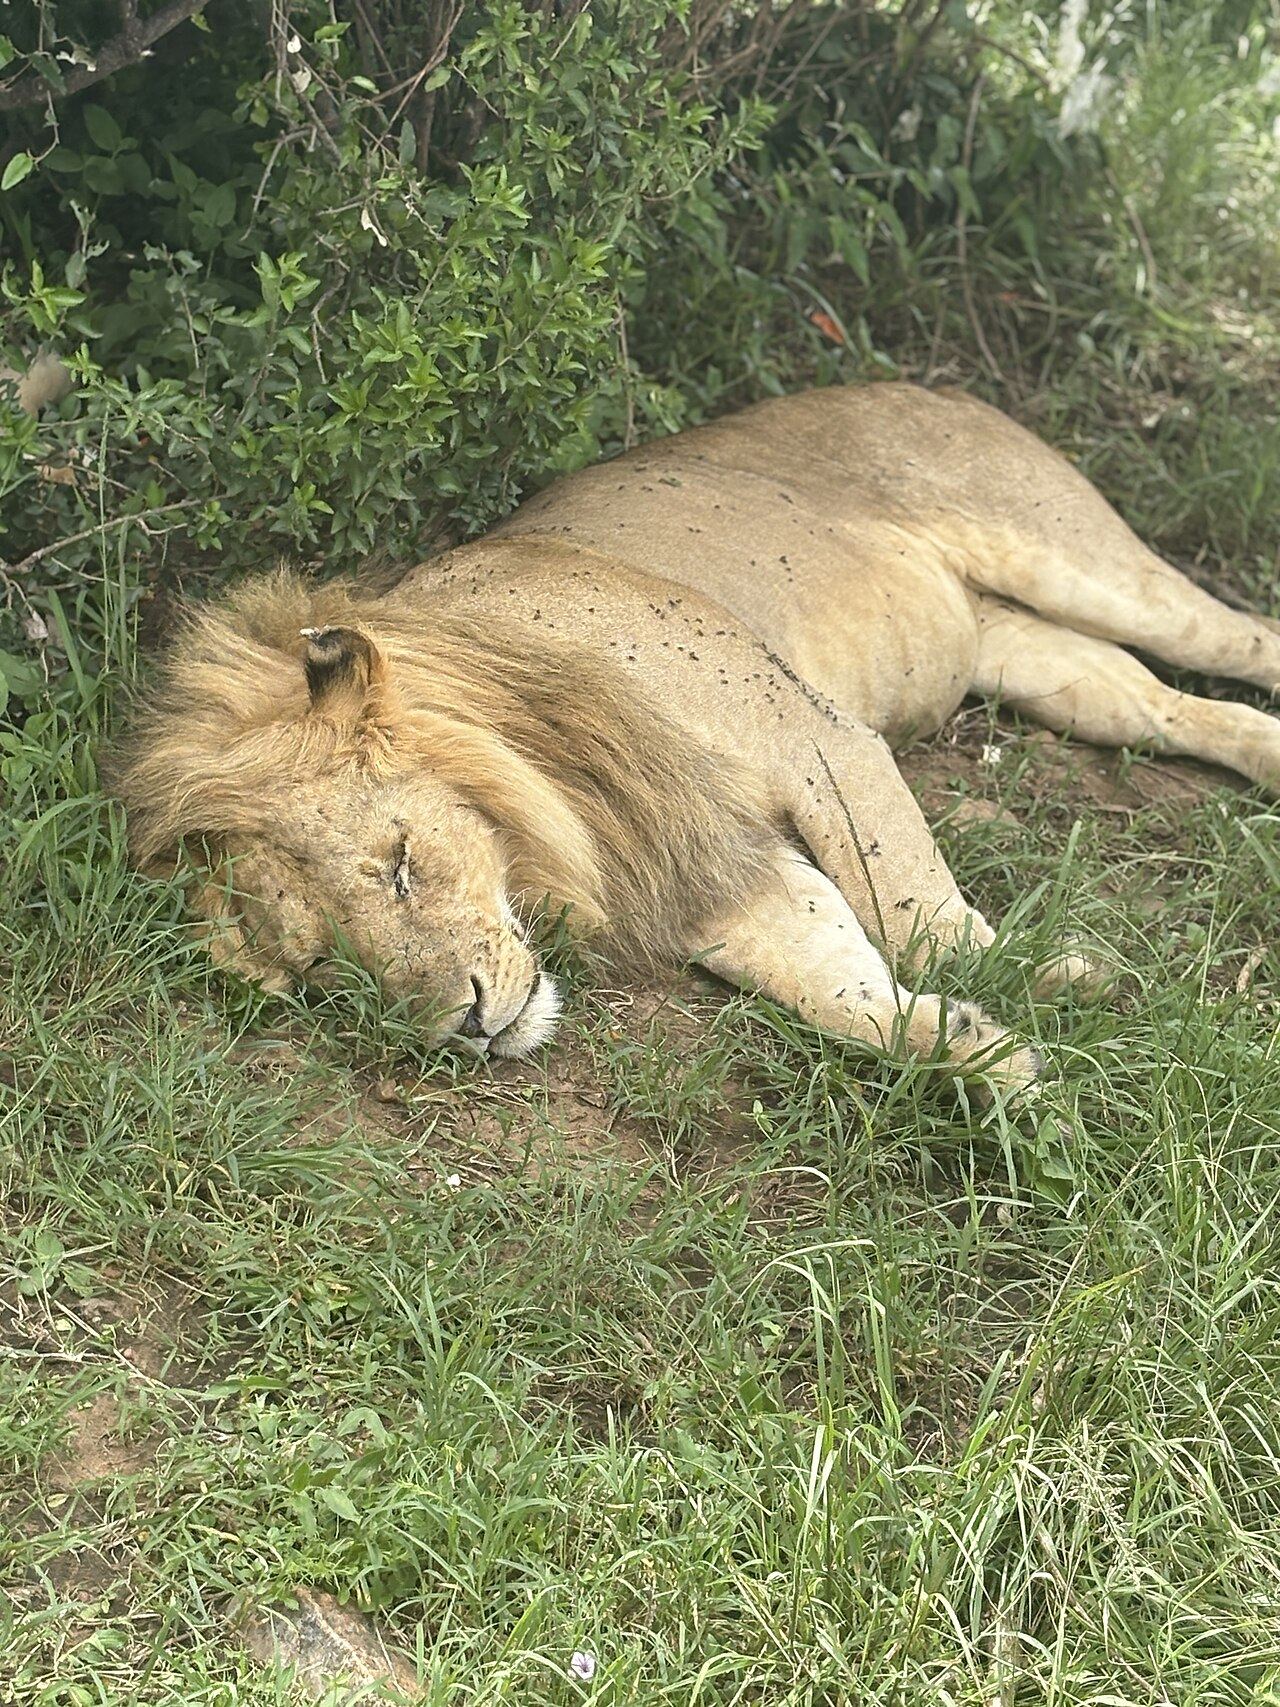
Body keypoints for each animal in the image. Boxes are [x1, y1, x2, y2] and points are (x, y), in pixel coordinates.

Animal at [112, 384, 1280, 1097]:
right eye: (325, 965)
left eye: (401, 865)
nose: (470, 1024)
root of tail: (931, 382)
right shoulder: (710, 872)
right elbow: (839, 986)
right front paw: (976, 1058)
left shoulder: (821, 738)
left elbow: (919, 924)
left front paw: (1066, 985)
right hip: (1028, 656)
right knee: (1170, 709)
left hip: (1076, 557)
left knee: (1239, 636)